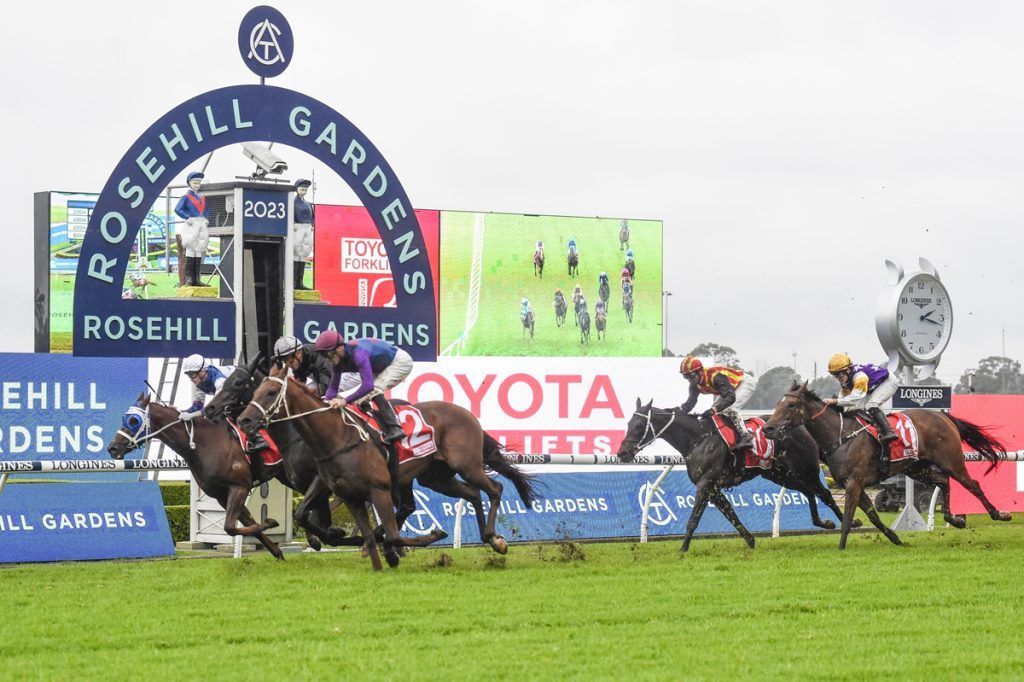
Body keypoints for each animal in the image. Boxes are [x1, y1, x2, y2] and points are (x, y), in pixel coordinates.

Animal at [107, 393, 286, 557]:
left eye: (134, 420)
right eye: (124, 418)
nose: (112, 447)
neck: (205, 443)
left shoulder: (239, 487)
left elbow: (230, 527)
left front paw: (270, 522)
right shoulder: (221, 495)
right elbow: (245, 526)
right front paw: (277, 551)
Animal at [234, 366, 532, 569]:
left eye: (271, 392)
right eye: (254, 391)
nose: (244, 420)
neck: (337, 436)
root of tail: (468, 413)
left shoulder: (372, 487)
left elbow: (381, 532)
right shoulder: (330, 484)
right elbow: (304, 514)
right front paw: (352, 540)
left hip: (466, 465)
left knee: (495, 488)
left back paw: (494, 538)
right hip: (435, 477)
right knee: (471, 493)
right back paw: (488, 537)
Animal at [614, 399, 847, 552]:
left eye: (639, 425)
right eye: (628, 424)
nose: (622, 453)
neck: (698, 438)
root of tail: (803, 428)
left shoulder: (705, 483)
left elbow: (693, 520)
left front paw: (683, 549)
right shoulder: (714, 488)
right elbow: (731, 514)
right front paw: (751, 541)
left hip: (805, 469)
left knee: (825, 494)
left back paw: (847, 522)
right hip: (782, 475)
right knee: (809, 492)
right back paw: (824, 522)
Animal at [765, 382, 1011, 548]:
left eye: (791, 404)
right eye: (777, 403)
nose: (768, 428)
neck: (840, 437)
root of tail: (943, 416)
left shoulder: (855, 482)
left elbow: (848, 518)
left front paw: (841, 547)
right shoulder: (852, 484)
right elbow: (872, 514)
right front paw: (895, 538)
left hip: (951, 461)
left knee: (972, 484)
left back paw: (999, 515)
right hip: (917, 468)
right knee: (943, 481)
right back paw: (954, 519)